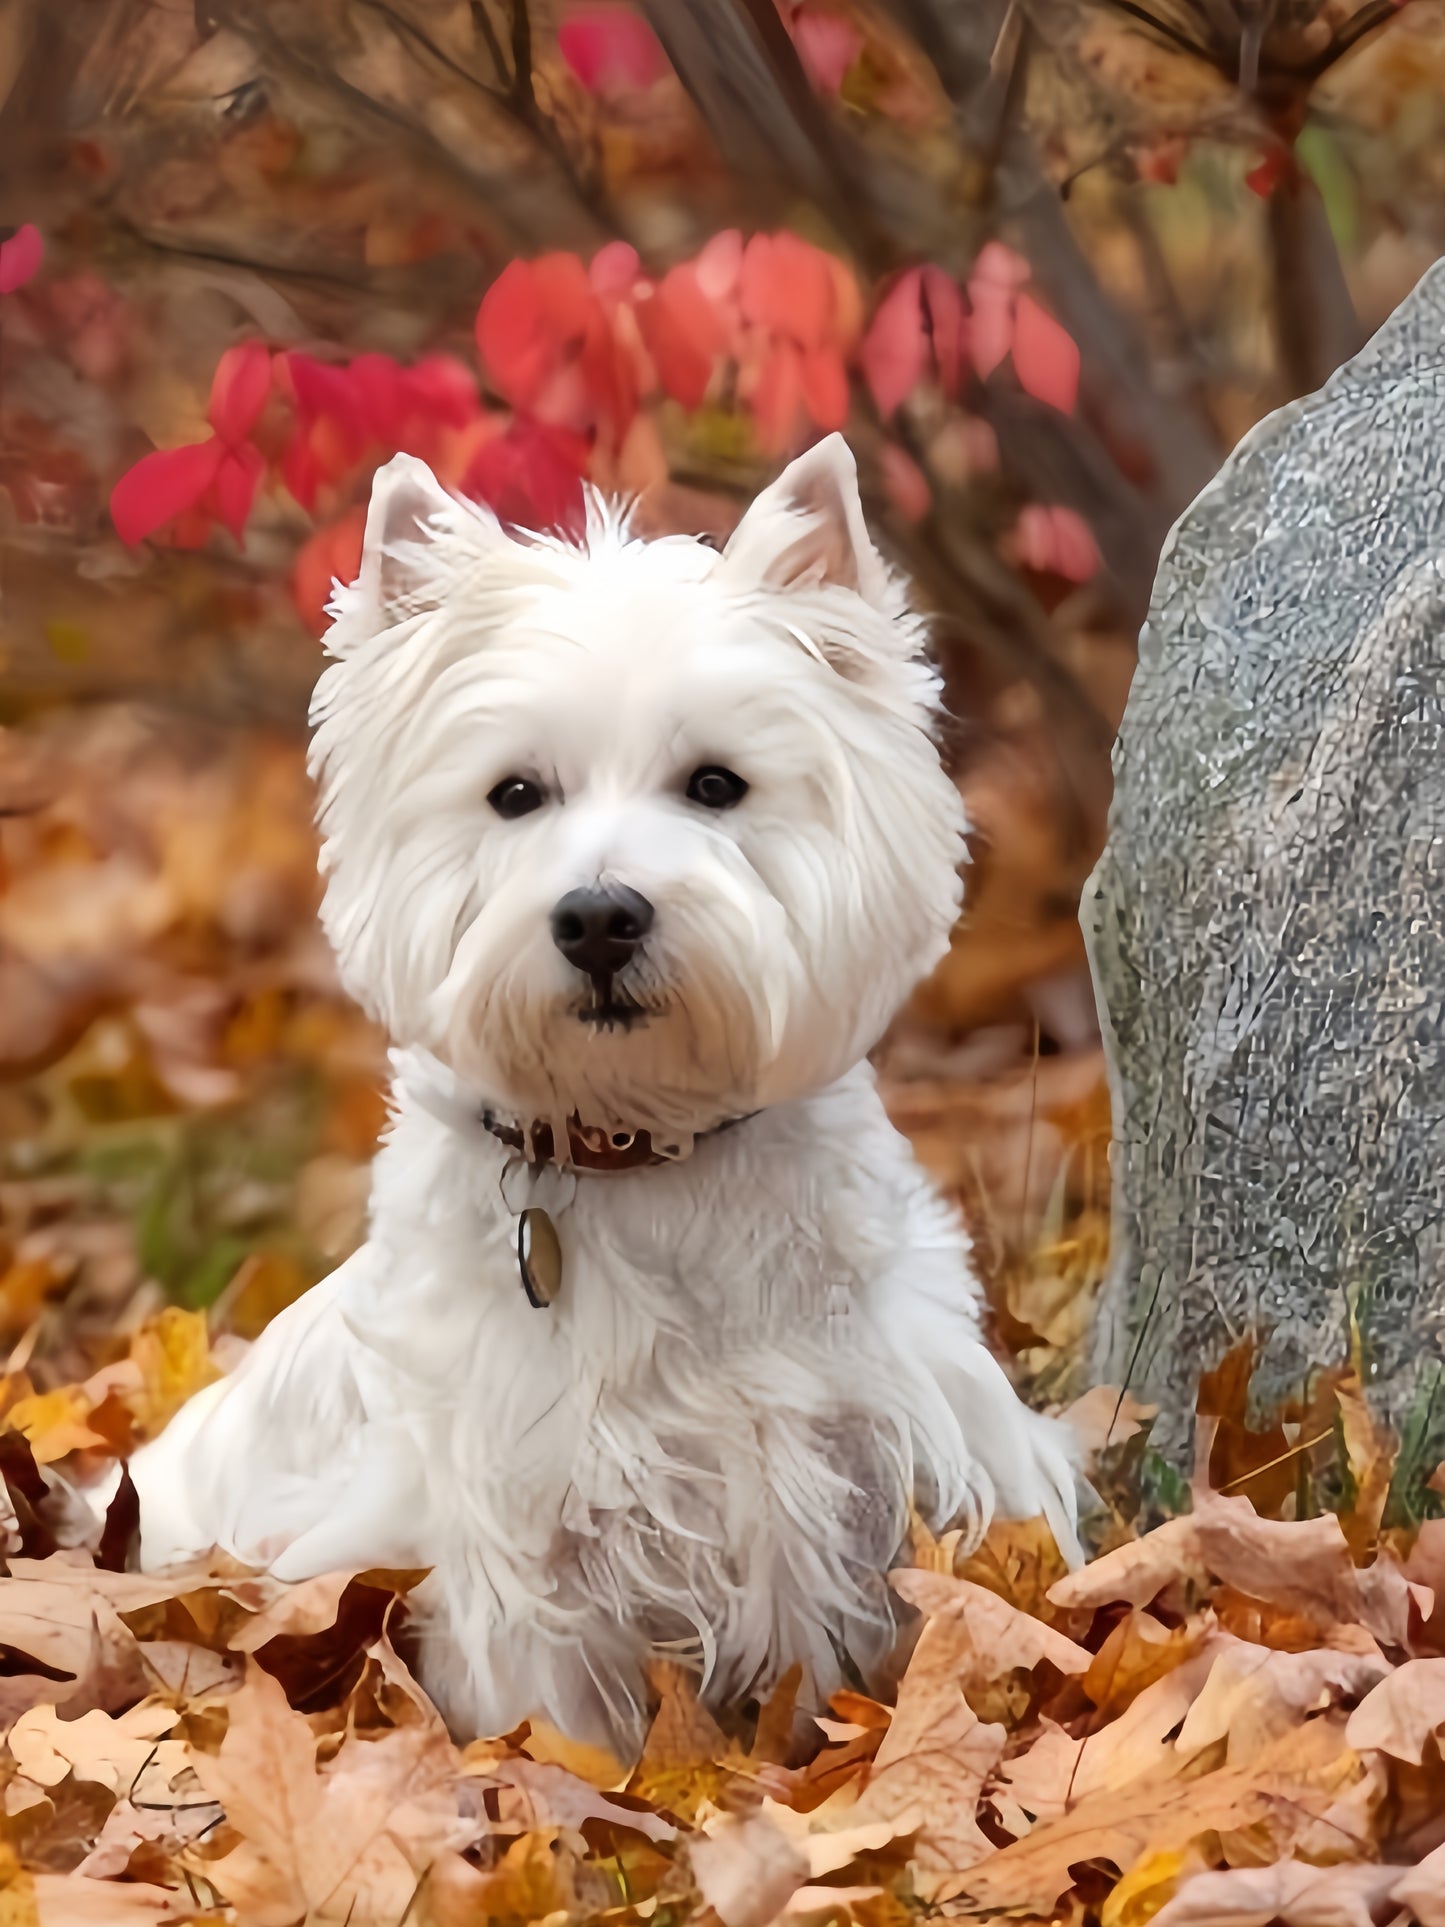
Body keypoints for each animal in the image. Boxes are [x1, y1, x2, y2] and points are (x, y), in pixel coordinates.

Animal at [127, 441, 1086, 1765]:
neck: (644, 1145)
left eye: (716, 784)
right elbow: (562, 1722)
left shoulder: (899, 1452)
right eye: (514, 793)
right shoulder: (528, 1535)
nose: (596, 916)